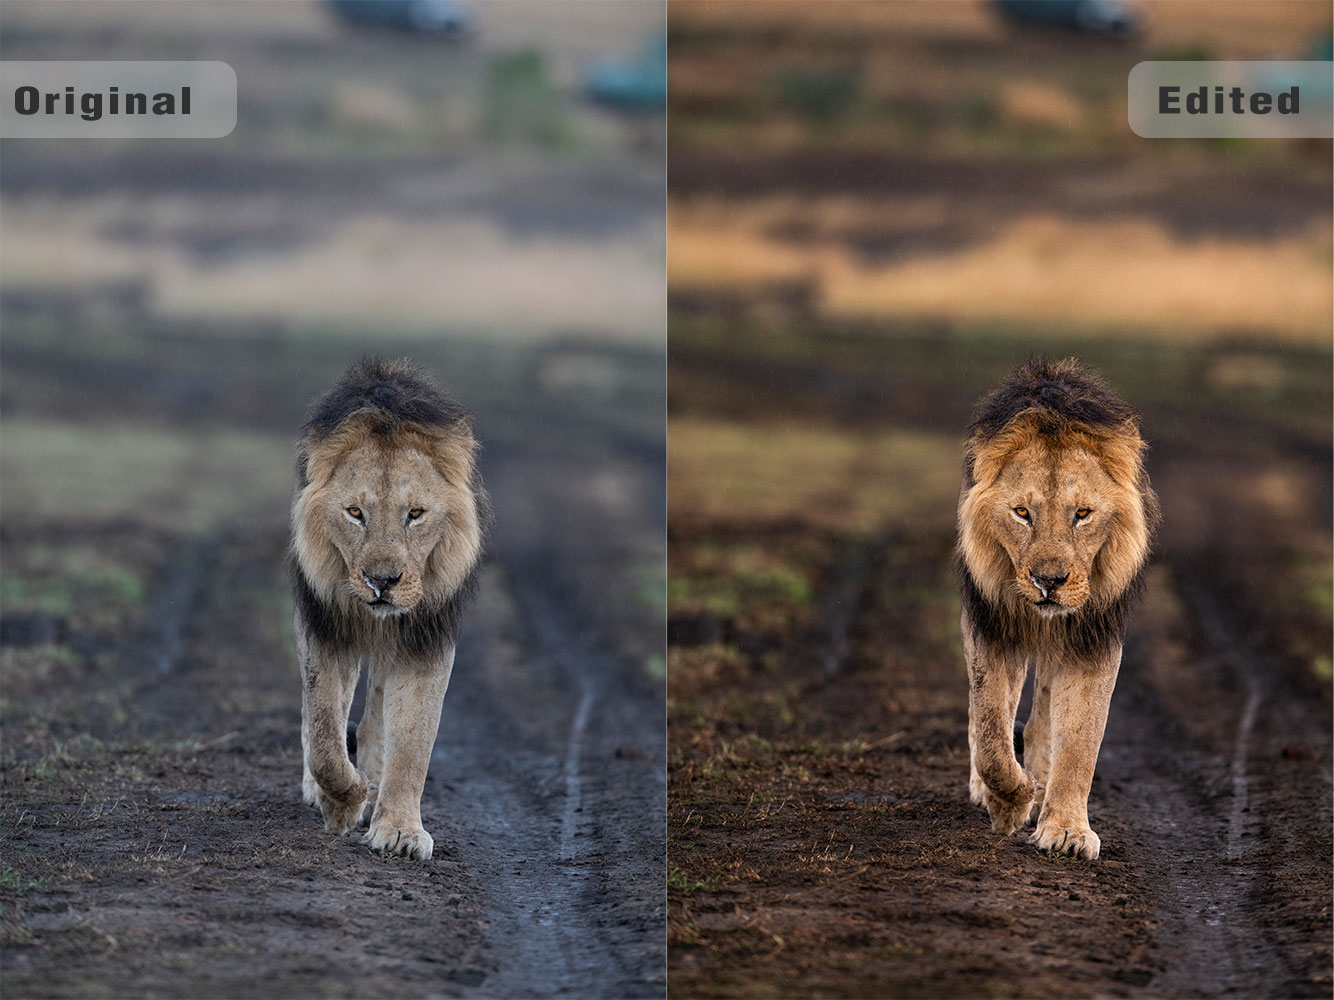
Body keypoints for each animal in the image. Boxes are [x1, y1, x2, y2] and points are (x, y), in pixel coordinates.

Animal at [286, 360, 490, 864]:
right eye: (355, 512)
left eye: (415, 514)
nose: (383, 582)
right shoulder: (324, 629)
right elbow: (325, 736)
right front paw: (343, 803)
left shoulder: (424, 641)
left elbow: (414, 741)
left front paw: (399, 830)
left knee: (377, 715)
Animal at [960, 360, 1157, 864]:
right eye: (1022, 512)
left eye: (1082, 514)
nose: (1049, 582)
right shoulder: (992, 630)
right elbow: (992, 733)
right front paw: (1010, 803)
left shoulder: (1092, 642)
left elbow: (1081, 742)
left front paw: (1066, 829)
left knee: (1044, 717)